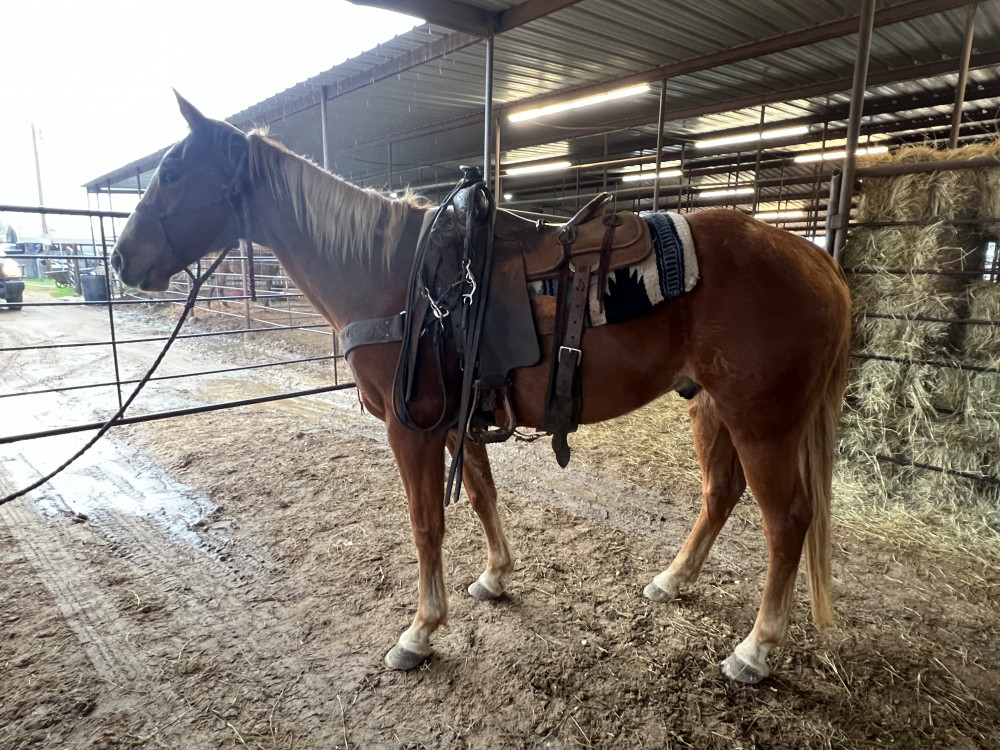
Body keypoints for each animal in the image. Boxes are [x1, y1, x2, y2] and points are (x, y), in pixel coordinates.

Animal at [111, 93, 851, 684]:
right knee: (720, 493)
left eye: (173, 173)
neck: (396, 279)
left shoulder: (410, 427)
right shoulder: (457, 418)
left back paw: (755, 649)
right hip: (712, 410)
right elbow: (481, 495)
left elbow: (426, 522)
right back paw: (673, 580)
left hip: (762, 423)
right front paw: (495, 577)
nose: (120, 259)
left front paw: (419, 631)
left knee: (787, 521)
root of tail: (814, 258)